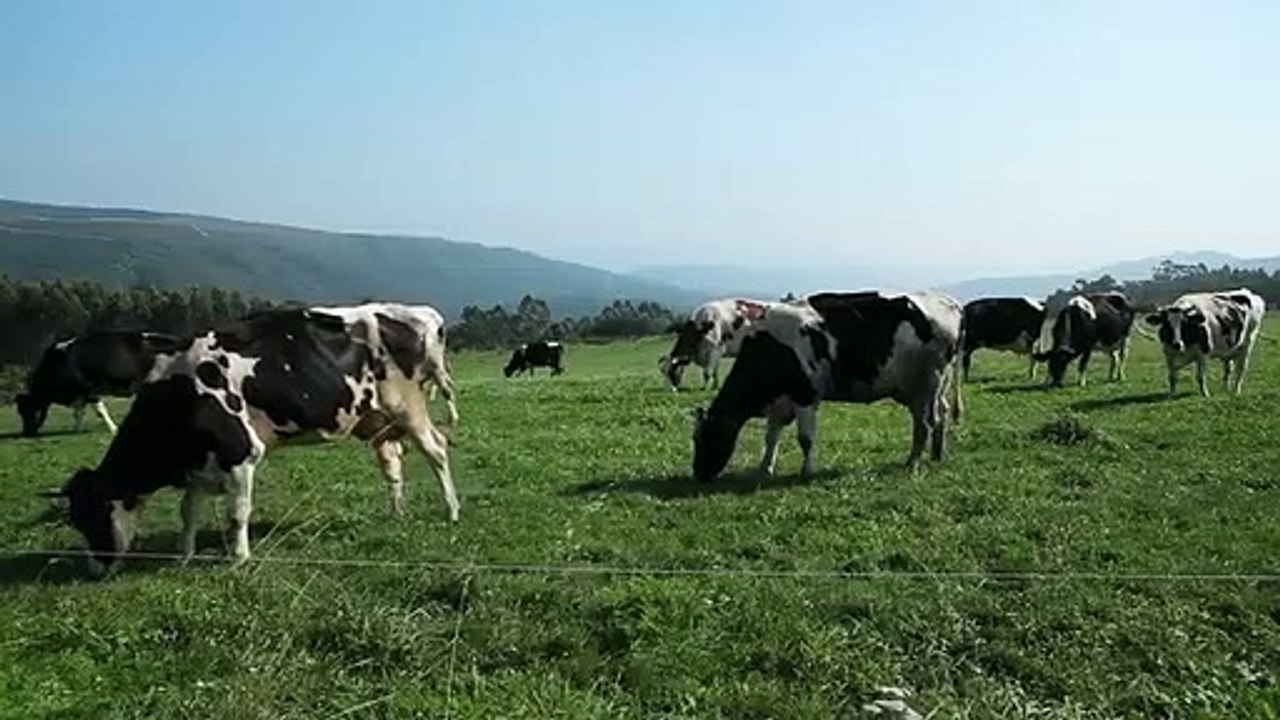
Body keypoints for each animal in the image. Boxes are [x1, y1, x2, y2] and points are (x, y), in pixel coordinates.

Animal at [16, 330, 185, 437]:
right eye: (20, 412)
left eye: (29, 410)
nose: (26, 432)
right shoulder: (80, 394)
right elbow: (78, 412)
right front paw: (76, 429)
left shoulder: (89, 389)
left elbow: (99, 411)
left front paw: (113, 429)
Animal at [42, 303, 459, 579]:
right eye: (75, 519)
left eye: (93, 515)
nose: (95, 569)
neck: (180, 392)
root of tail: (411, 310)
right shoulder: (198, 467)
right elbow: (187, 514)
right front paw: (184, 556)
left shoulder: (240, 454)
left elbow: (237, 513)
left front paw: (239, 558)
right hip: (376, 420)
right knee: (392, 462)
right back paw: (397, 512)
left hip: (408, 405)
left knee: (436, 450)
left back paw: (452, 510)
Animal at [691, 290, 963, 482]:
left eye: (706, 437)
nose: (699, 474)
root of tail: (949, 302)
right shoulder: (779, 403)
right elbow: (771, 437)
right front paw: (765, 468)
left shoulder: (806, 396)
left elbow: (805, 438)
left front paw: (807, 470)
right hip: (936, 386)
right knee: (941, 413)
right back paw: (937, 455)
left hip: (927, 385)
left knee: (925, 423)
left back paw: (913, 461)